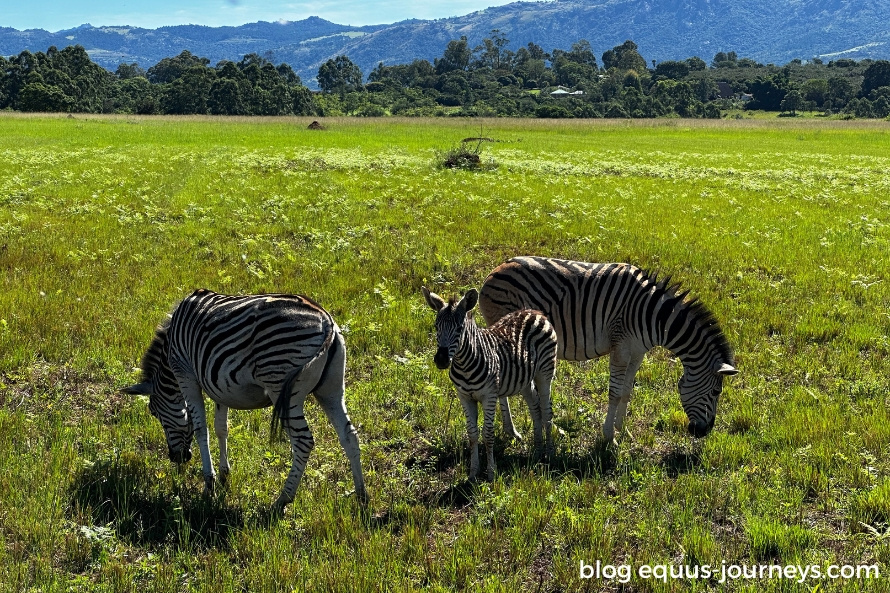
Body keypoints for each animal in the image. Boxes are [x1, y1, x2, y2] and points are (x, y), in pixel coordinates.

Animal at [123, 290, 366, 512]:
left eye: (154, 412)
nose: (176, 458)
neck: (170, 350)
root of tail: (326, 321)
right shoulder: (218, 384)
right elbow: (221, 428)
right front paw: (224, 476)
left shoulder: (185, 373)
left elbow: (202, 429)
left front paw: (209, 485)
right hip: (331, 389)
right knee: (349, 435)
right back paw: (362, 496)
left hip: (282, 385)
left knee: (303, 441)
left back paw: (282, 500)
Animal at [422, 286, 556, 480]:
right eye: (436, 326)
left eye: (459, 328)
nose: (441, 360)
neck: (464, 365)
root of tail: (533, 311)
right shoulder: (464, 397)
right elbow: (472, 434)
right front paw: (473, 472)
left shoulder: (489, 396)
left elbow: (488, 434)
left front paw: (491, 473)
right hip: (524, 380)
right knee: (535, 408)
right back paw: (537, 452)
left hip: (545, 373)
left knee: (547, 412)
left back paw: (550, 454)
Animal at [478, 256, 736, 442]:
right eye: (716, 392)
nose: (703, 433)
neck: (653, 316)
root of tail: (495, 270)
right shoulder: (620, 347)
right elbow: (614, 392)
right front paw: (609, 436)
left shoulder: (638, 352)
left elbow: (627, 391)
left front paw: (624, 431)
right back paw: (512, 432)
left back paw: (511, 431)